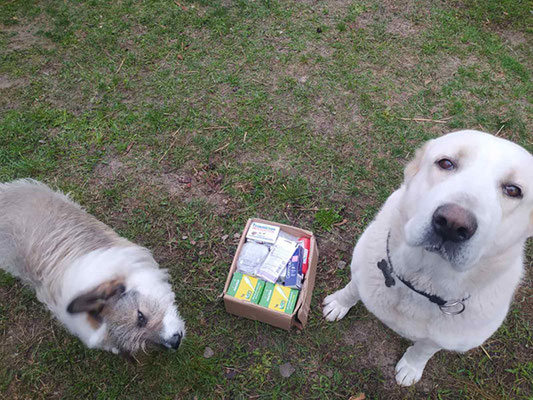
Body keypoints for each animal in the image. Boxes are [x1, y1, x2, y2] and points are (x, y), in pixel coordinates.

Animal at [322, 130, 532, 386]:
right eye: (446, 163)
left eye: (513, 190)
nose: (452, 224)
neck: (420, 284)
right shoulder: (362, 272)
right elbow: (352, 290)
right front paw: (338, 304)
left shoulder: (442, 339)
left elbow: (424, 349)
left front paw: (411, 367)